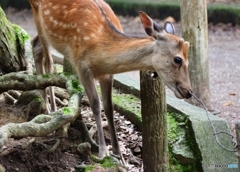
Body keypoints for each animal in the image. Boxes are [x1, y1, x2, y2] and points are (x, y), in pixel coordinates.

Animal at [29, 0, 192, 164]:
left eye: (188, 59)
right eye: (178, 59)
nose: (189, 92)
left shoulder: (108, 75)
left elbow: (109, 108)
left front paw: (119, 155)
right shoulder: (82, 66)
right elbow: (96, 104)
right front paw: (103, 152)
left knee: (35, 45)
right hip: (39, 19)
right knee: (48, 61)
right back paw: (50, 108)